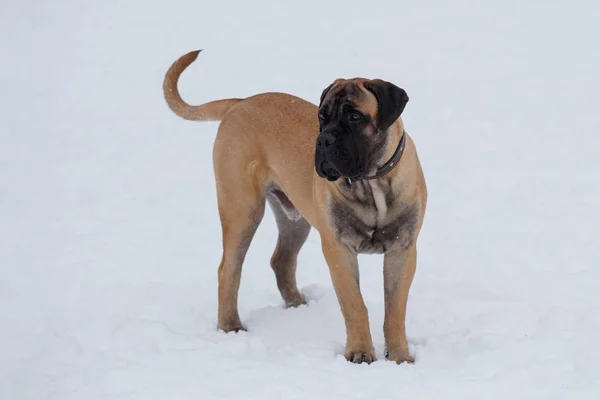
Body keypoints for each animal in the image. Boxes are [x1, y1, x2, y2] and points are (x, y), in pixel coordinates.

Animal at [162, 50, 428, 366]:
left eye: (354, 116)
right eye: (322, 117)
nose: (323, 139)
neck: (372, 183)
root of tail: (240, 102)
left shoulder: (403, 248)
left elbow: (395, 309)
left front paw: (399, 357)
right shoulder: (339, 249)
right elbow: (355, 304)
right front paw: (360, 352)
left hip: (295, 219)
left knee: (282, 260)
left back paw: (297, 305)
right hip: (242, 209)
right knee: (228, 269)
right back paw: (230, 325)